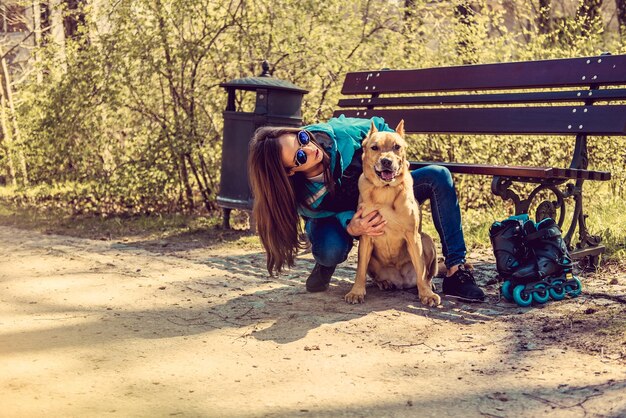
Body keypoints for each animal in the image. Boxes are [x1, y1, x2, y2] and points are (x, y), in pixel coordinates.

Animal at [342, 121, 438, 306]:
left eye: (396, 147)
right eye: (374, 147)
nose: (386, 161)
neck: (385, 191)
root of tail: (401, 282)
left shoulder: (412, 236)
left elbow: (421, 269)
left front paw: (426, 294)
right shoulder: (366, 236)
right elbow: (360, 270)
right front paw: (356, 292)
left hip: (426, 240)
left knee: (425, 274)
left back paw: (428, 286)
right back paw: (384, 282)